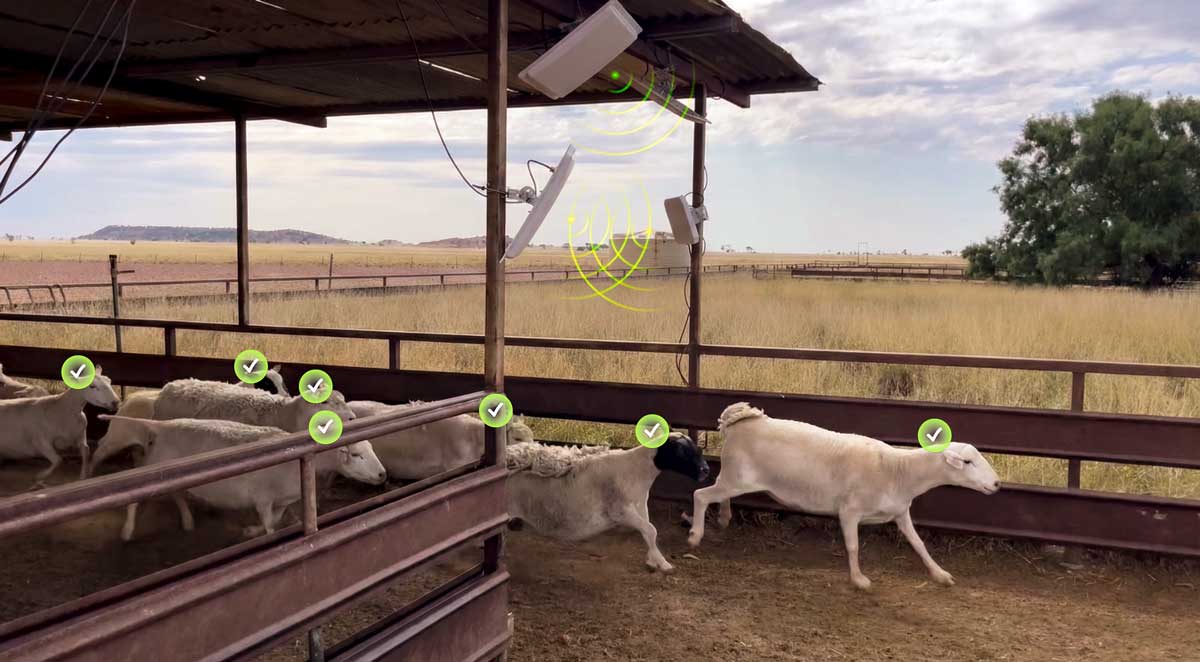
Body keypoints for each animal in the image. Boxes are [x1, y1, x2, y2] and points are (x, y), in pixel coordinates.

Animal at [98, 415, 386, 540]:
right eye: (357, 455)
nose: (383, 474)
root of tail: (163, 425)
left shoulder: (281, 501)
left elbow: (274, 522)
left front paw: (251, 531)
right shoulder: (263, 498)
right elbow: (270, 525)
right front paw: (260, 535)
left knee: (178, 494)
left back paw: (188, 522)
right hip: (154, 466)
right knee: (134, 498)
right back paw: (127, 531)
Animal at [506, 433, 709, 573]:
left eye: (698, 450)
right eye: (680, 452)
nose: (706, 470)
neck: (638, 471)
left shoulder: (640, 506)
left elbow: (648, 532)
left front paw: (652, 559)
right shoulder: (621, 511)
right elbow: (651, 530)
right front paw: (663, 564)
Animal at [687, 403, 1001, 590]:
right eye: (968, 462)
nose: (997, 484)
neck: (898, 470)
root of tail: (739, 420)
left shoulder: (900, 512)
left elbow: (919, 544)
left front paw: (940, 574)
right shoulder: (849, 511)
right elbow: (853, 545)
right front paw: (858, 579)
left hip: (734, 478)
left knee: (718, 493)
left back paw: (724, 517)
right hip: (737, 479)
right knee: (701, 495)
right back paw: (695, 535)